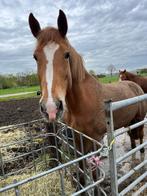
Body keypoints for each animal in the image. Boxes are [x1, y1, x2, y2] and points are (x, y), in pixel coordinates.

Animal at [28, 9, 146, 153]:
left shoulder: (95, 141)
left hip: (139, 120)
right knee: (132, 136)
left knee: (140, 136)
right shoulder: (78, 141)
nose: (51, 108)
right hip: (130, 122)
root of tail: (135, 85)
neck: (82, 103)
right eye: (35, 57)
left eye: (66, 54)